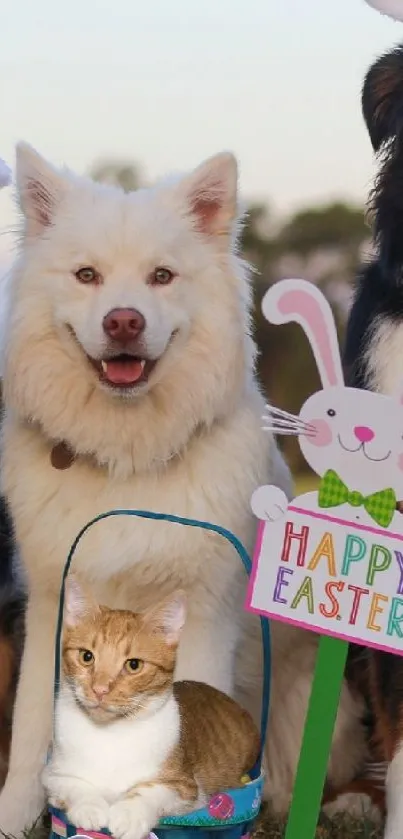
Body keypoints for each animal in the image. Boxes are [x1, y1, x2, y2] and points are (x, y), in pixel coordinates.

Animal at [42, 576, 260, 839]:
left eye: (134, 665)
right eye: (86, 656)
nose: (100, 689)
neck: (110, 733)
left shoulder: (186, 788)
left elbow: (149, 790)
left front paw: (129, 814)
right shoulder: (52, 773)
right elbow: (75, 783)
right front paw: (89, 807)